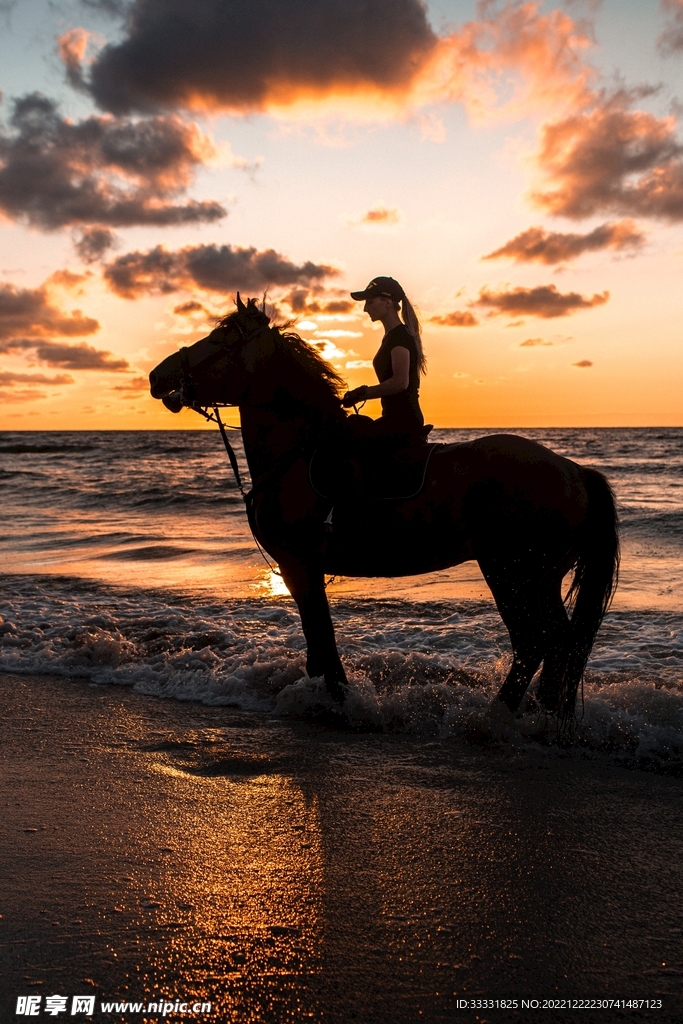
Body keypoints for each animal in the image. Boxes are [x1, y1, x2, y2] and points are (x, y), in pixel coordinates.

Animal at [149, 295, 619, 727]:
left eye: (220, 338)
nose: (157, 376)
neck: (297, 453)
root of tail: (574, 471)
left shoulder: (299, 563)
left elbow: (323, 641)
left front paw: (341, 704)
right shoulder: (299, 567)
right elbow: (317, 644)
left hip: (510, 571)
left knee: (533, 642)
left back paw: (493, 720)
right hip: (543, 577)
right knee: (561, 642)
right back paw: (544, 717)